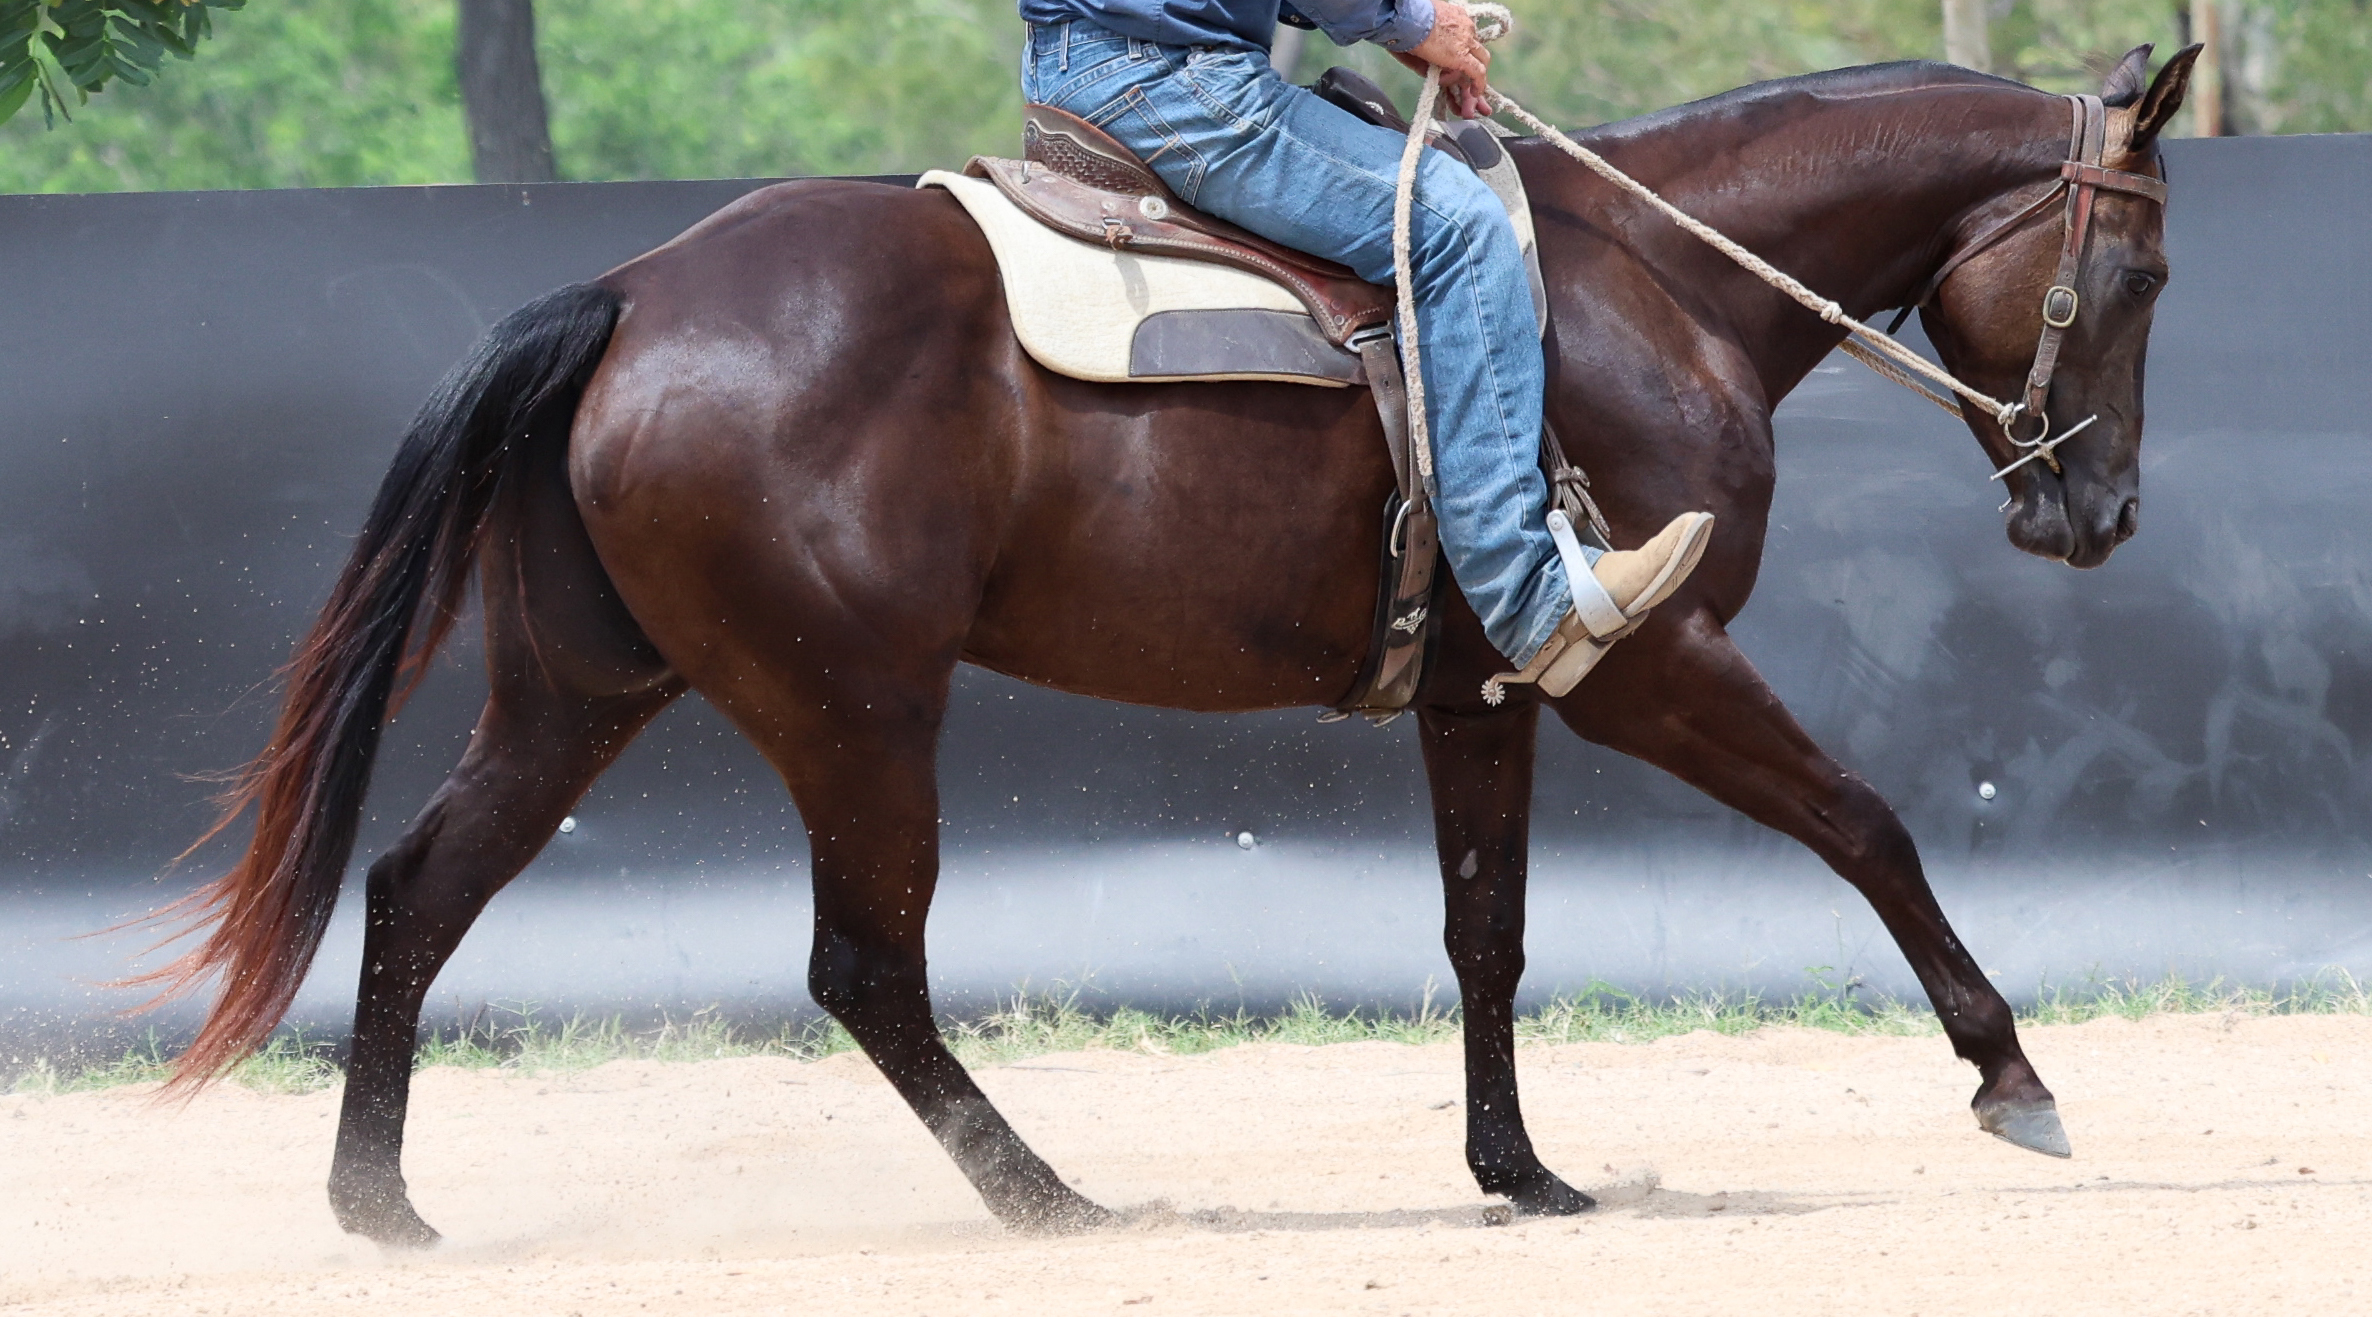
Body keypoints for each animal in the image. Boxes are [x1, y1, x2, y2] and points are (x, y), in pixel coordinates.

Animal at [142, 45, 2198, 1245]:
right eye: (2147, 271)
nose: (2096, 514)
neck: (1654, 280)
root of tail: (632, 296)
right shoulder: (1645, 658)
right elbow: (1867, 823)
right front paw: (2011, 1076)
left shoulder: (1482, 695)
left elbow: (1487, 929)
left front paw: (1517, 1172)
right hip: (855, 711)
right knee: (860, 965)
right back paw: (1047, 1198)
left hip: (583, 691)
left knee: (419, 885)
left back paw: (379, 1208)